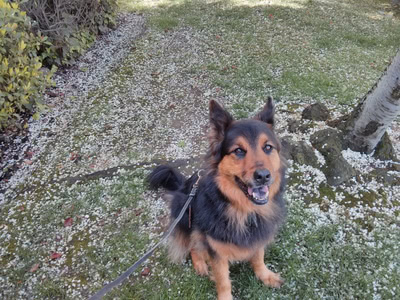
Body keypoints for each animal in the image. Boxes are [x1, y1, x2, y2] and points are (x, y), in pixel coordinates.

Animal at [148, 98, 286, 300]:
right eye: (239, 151)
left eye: (268, 147)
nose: (263, 176)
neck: (243, 209)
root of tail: (183, 187)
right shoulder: (216, 249)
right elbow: (223, 279)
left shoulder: (259, 233)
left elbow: (258, 256)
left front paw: (265, 275)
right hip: (185, 212)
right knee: (193, 245)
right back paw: (200, 263)